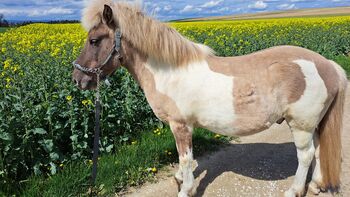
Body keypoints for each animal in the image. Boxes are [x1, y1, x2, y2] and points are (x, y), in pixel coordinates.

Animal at [72, 0, 348, 196]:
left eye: (94, 40)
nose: (77, 79)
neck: (170, 71)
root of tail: (328, 65)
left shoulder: (180, 125)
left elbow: (185, 158)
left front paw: (186, 189)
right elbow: (184, 160)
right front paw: (180, 179)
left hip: (300, 125)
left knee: (306, 155)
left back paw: (294, 190)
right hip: (314, 123)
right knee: (319, 149)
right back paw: (315, 186)